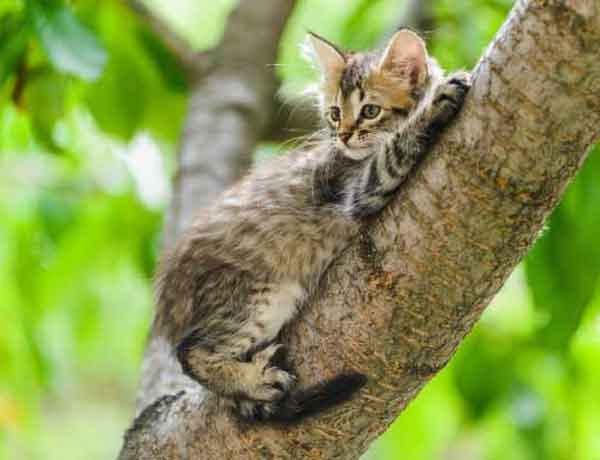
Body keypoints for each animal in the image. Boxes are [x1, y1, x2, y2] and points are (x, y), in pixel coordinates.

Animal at [152, 28, 472, 422]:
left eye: (370, 111)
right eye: (335, 114)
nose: (344, 135)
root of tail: (167, 308)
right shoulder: (357, 190)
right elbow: (396, 147)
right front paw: (436, 103)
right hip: (257, 293)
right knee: (191, 351)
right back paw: (253, 381)